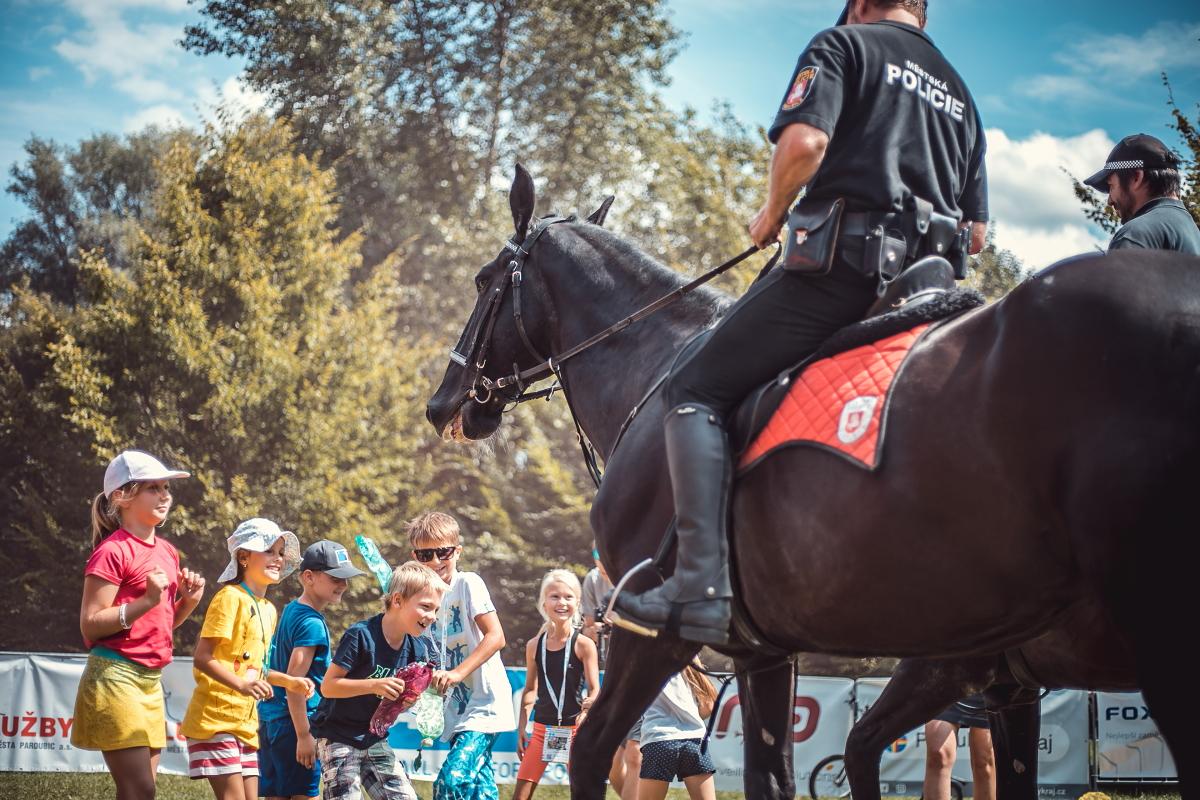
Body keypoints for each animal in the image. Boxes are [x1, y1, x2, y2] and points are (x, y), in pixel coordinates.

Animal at [427, 165, 1195, 796]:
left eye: (484, 280)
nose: (443, 403)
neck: (658, 367)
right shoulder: (772, 651)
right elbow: (780, 774)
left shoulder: (652, 635)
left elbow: (590, 753)